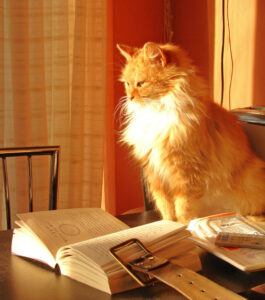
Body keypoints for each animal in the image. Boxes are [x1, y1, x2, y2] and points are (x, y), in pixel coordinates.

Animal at [117, 41, 264, 223]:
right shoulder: (155, 174)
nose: (130, 97)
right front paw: (168, 224)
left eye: (140, 83)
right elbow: (165, 207)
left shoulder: (186, 175)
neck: (156, 112)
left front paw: (183, 225)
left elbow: (183, 208)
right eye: (127, 84)